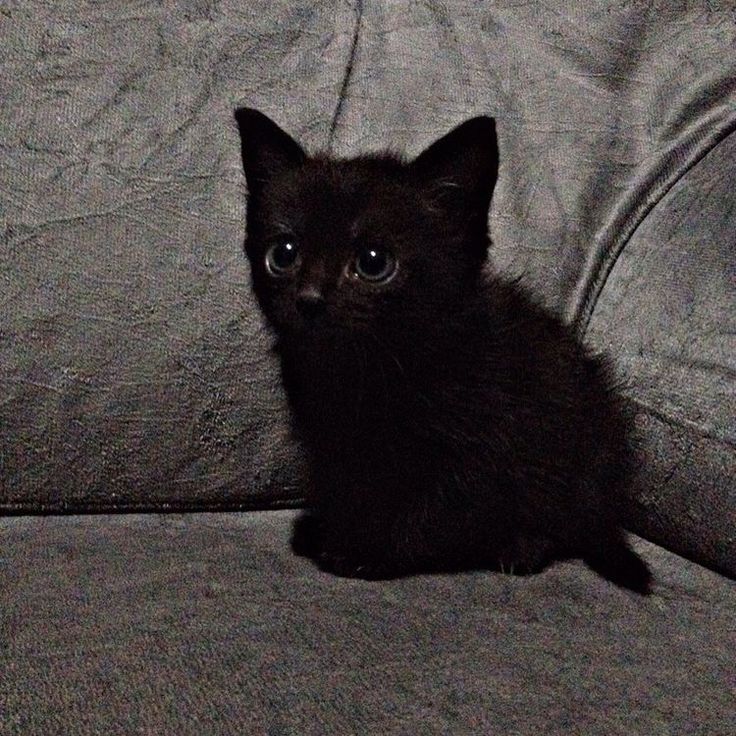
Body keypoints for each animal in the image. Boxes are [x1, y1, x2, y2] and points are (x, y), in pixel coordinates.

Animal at [234, 108, 648, 592]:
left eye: (373, 262)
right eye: (283, 254)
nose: (309, 299)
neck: (372, 368)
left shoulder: (486, 444)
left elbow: (438, 510)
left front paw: (367, 550)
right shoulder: (331, 442)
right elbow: (346, 486)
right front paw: (331, 528)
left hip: (581, 449)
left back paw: (523, 546)